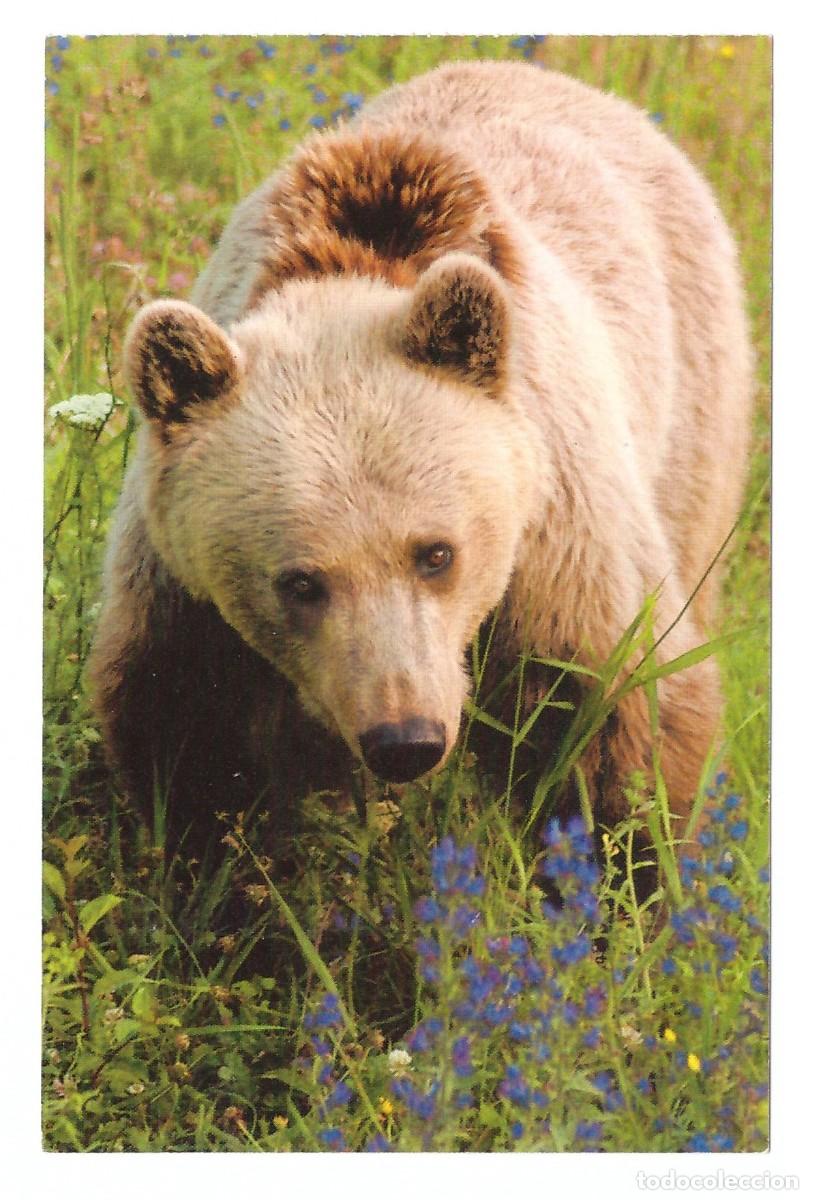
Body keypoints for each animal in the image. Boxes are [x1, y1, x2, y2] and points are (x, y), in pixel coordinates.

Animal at [89, 61, 752, 859]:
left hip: (692, 403)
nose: (405, 738)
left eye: (435, 553)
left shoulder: (559, 536)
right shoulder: (181, 593)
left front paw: (627, 864)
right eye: (300, 582)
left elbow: (615, 704)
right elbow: (188, 732)